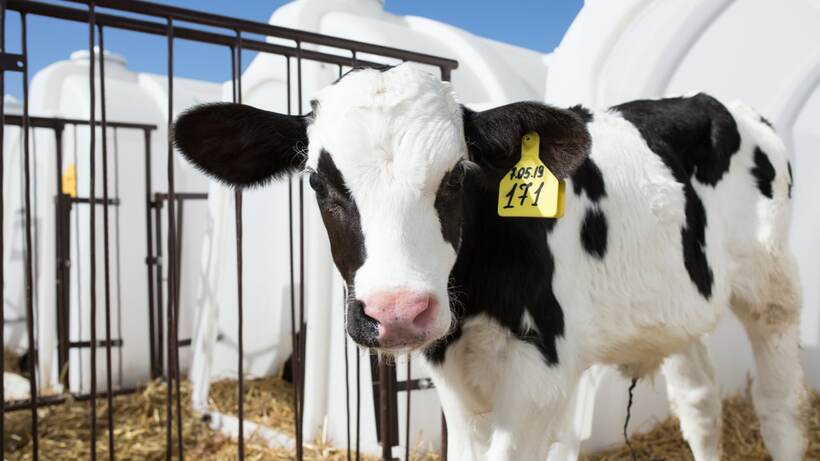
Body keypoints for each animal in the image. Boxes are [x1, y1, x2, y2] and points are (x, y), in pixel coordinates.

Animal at [175, 64, 808, 460]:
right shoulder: (454, 376)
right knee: (700, 403)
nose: (397, 310)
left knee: (780, 408)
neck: (475, 302)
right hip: (673, 308)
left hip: (772, 288)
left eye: (456, 175)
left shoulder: (540, 374)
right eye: (317, 182)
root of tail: (718, 103)